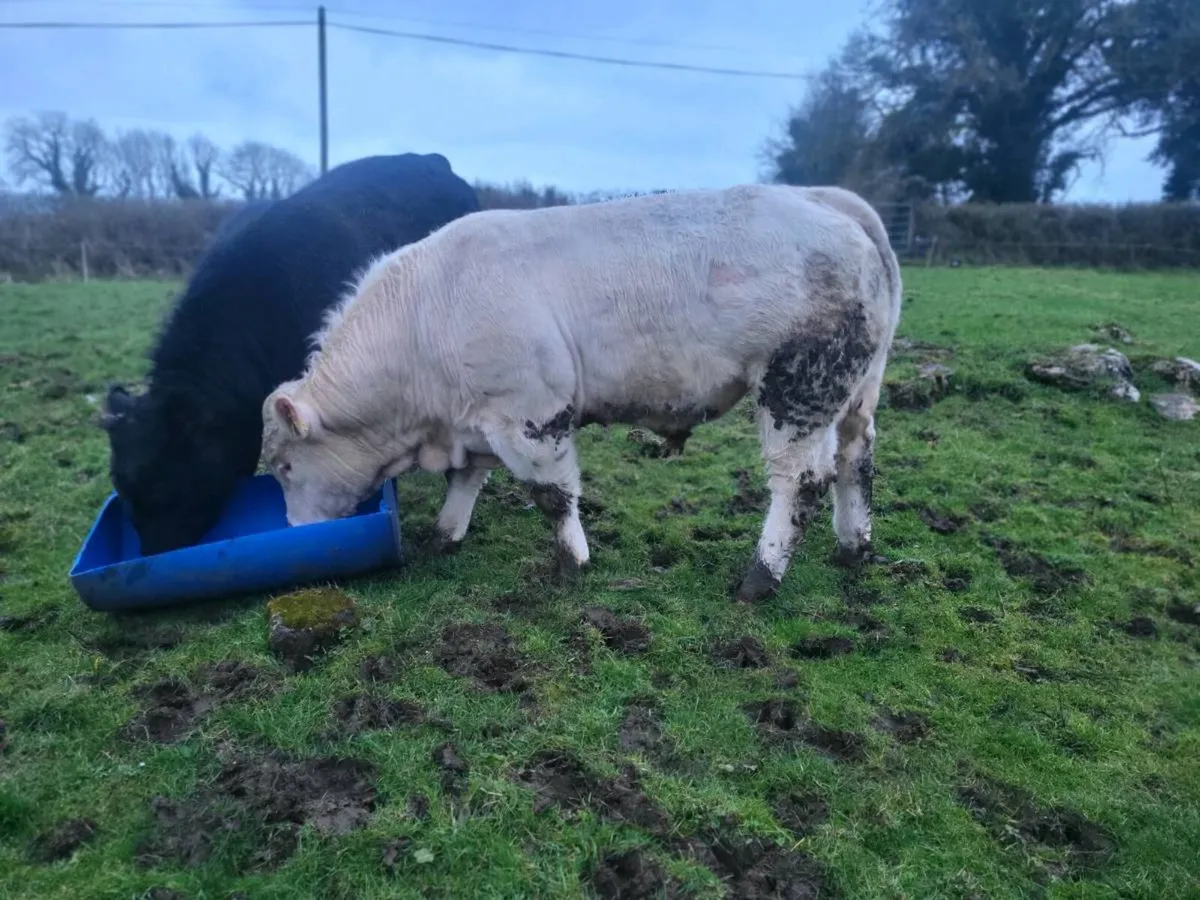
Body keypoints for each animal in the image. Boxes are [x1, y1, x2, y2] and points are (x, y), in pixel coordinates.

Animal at [260, 183, 903, 604]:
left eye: (285, 466)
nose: (293, 531)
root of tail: (826, 200)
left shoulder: (532, 415)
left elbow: (553, 496)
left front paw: (572, 564)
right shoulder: (480, 418)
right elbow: (466, 481)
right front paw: (444, 535)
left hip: (798, 387)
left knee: (802, 480)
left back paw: (760, 578)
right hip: (855, 391)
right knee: (856, 458)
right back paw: (853, 547)